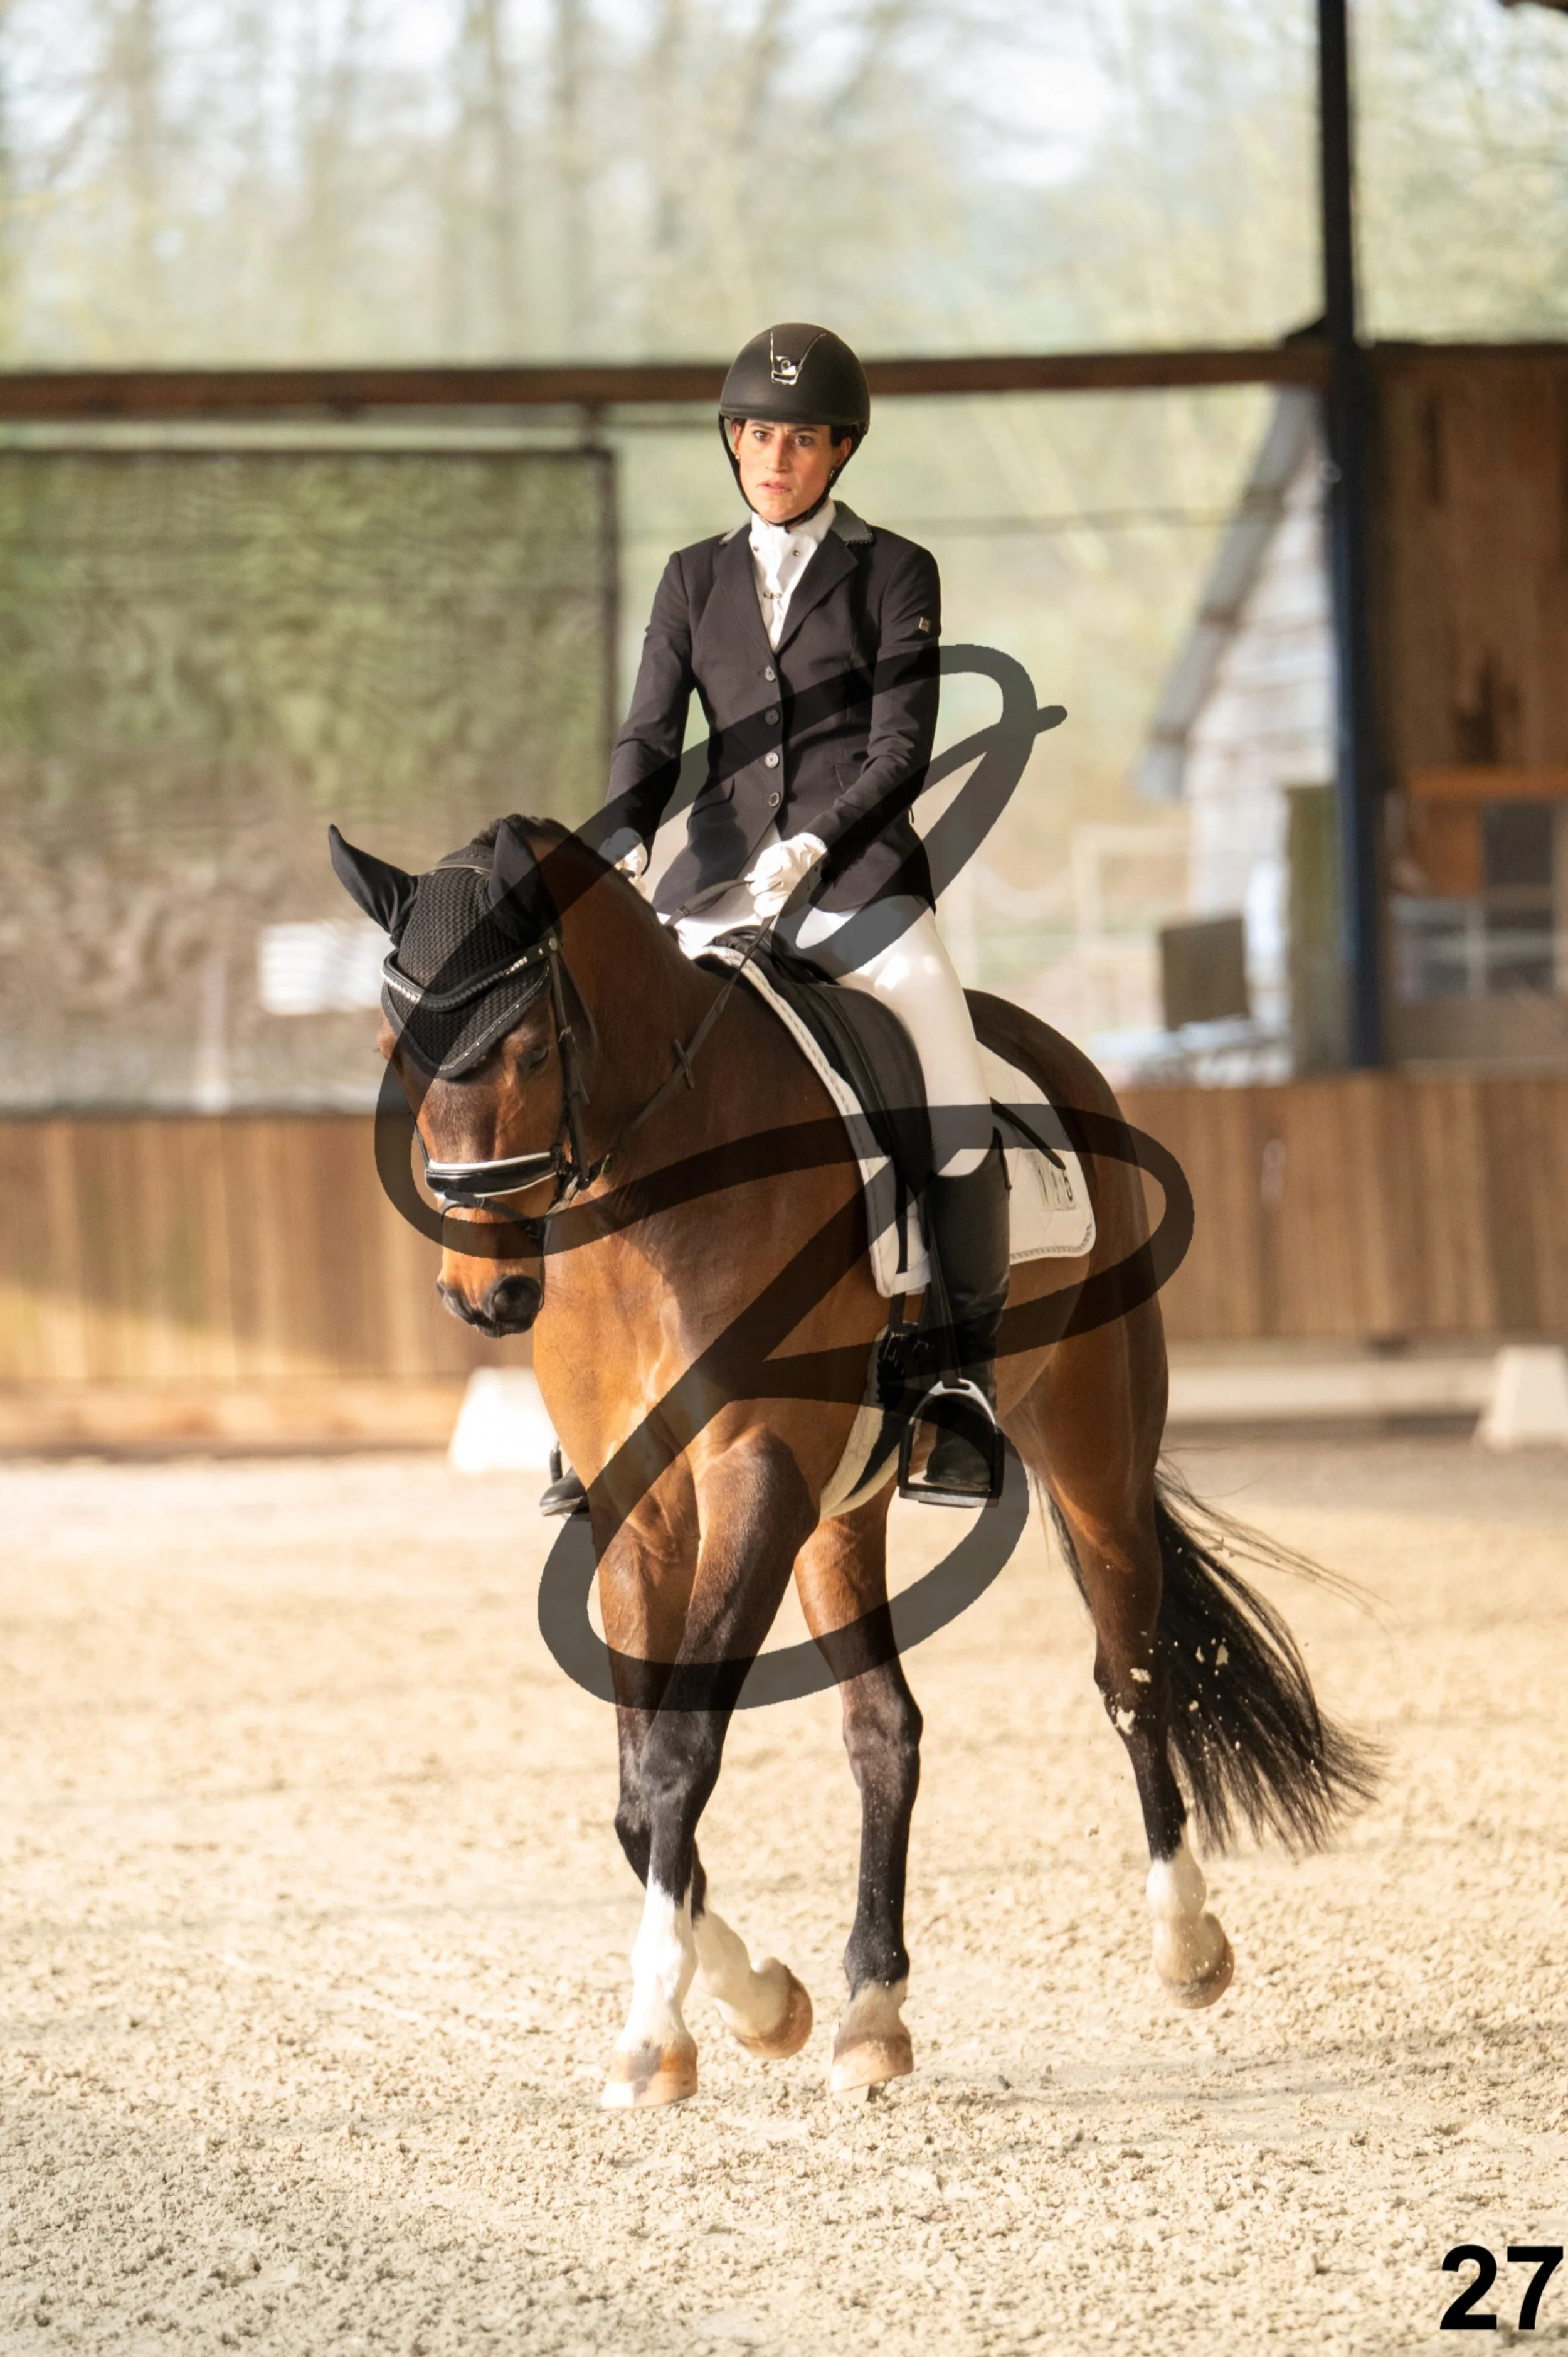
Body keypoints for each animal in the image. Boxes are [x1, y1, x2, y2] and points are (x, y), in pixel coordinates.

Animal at [335, 810, 1377, 2109]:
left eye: (525, 1047)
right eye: (393, 1045)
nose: (484, 1294)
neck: (652, 1197)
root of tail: (1050, 1044)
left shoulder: (755, 1471)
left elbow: (677, 1751)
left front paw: (653, 2032)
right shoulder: (642, 1504)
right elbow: (636, 1786)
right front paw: (758, 2001)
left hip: (1091, 1437)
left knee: (1132, 1674)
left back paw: (1185, 1945)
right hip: (842, 1508)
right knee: (887, 1727)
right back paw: (871, 2009)